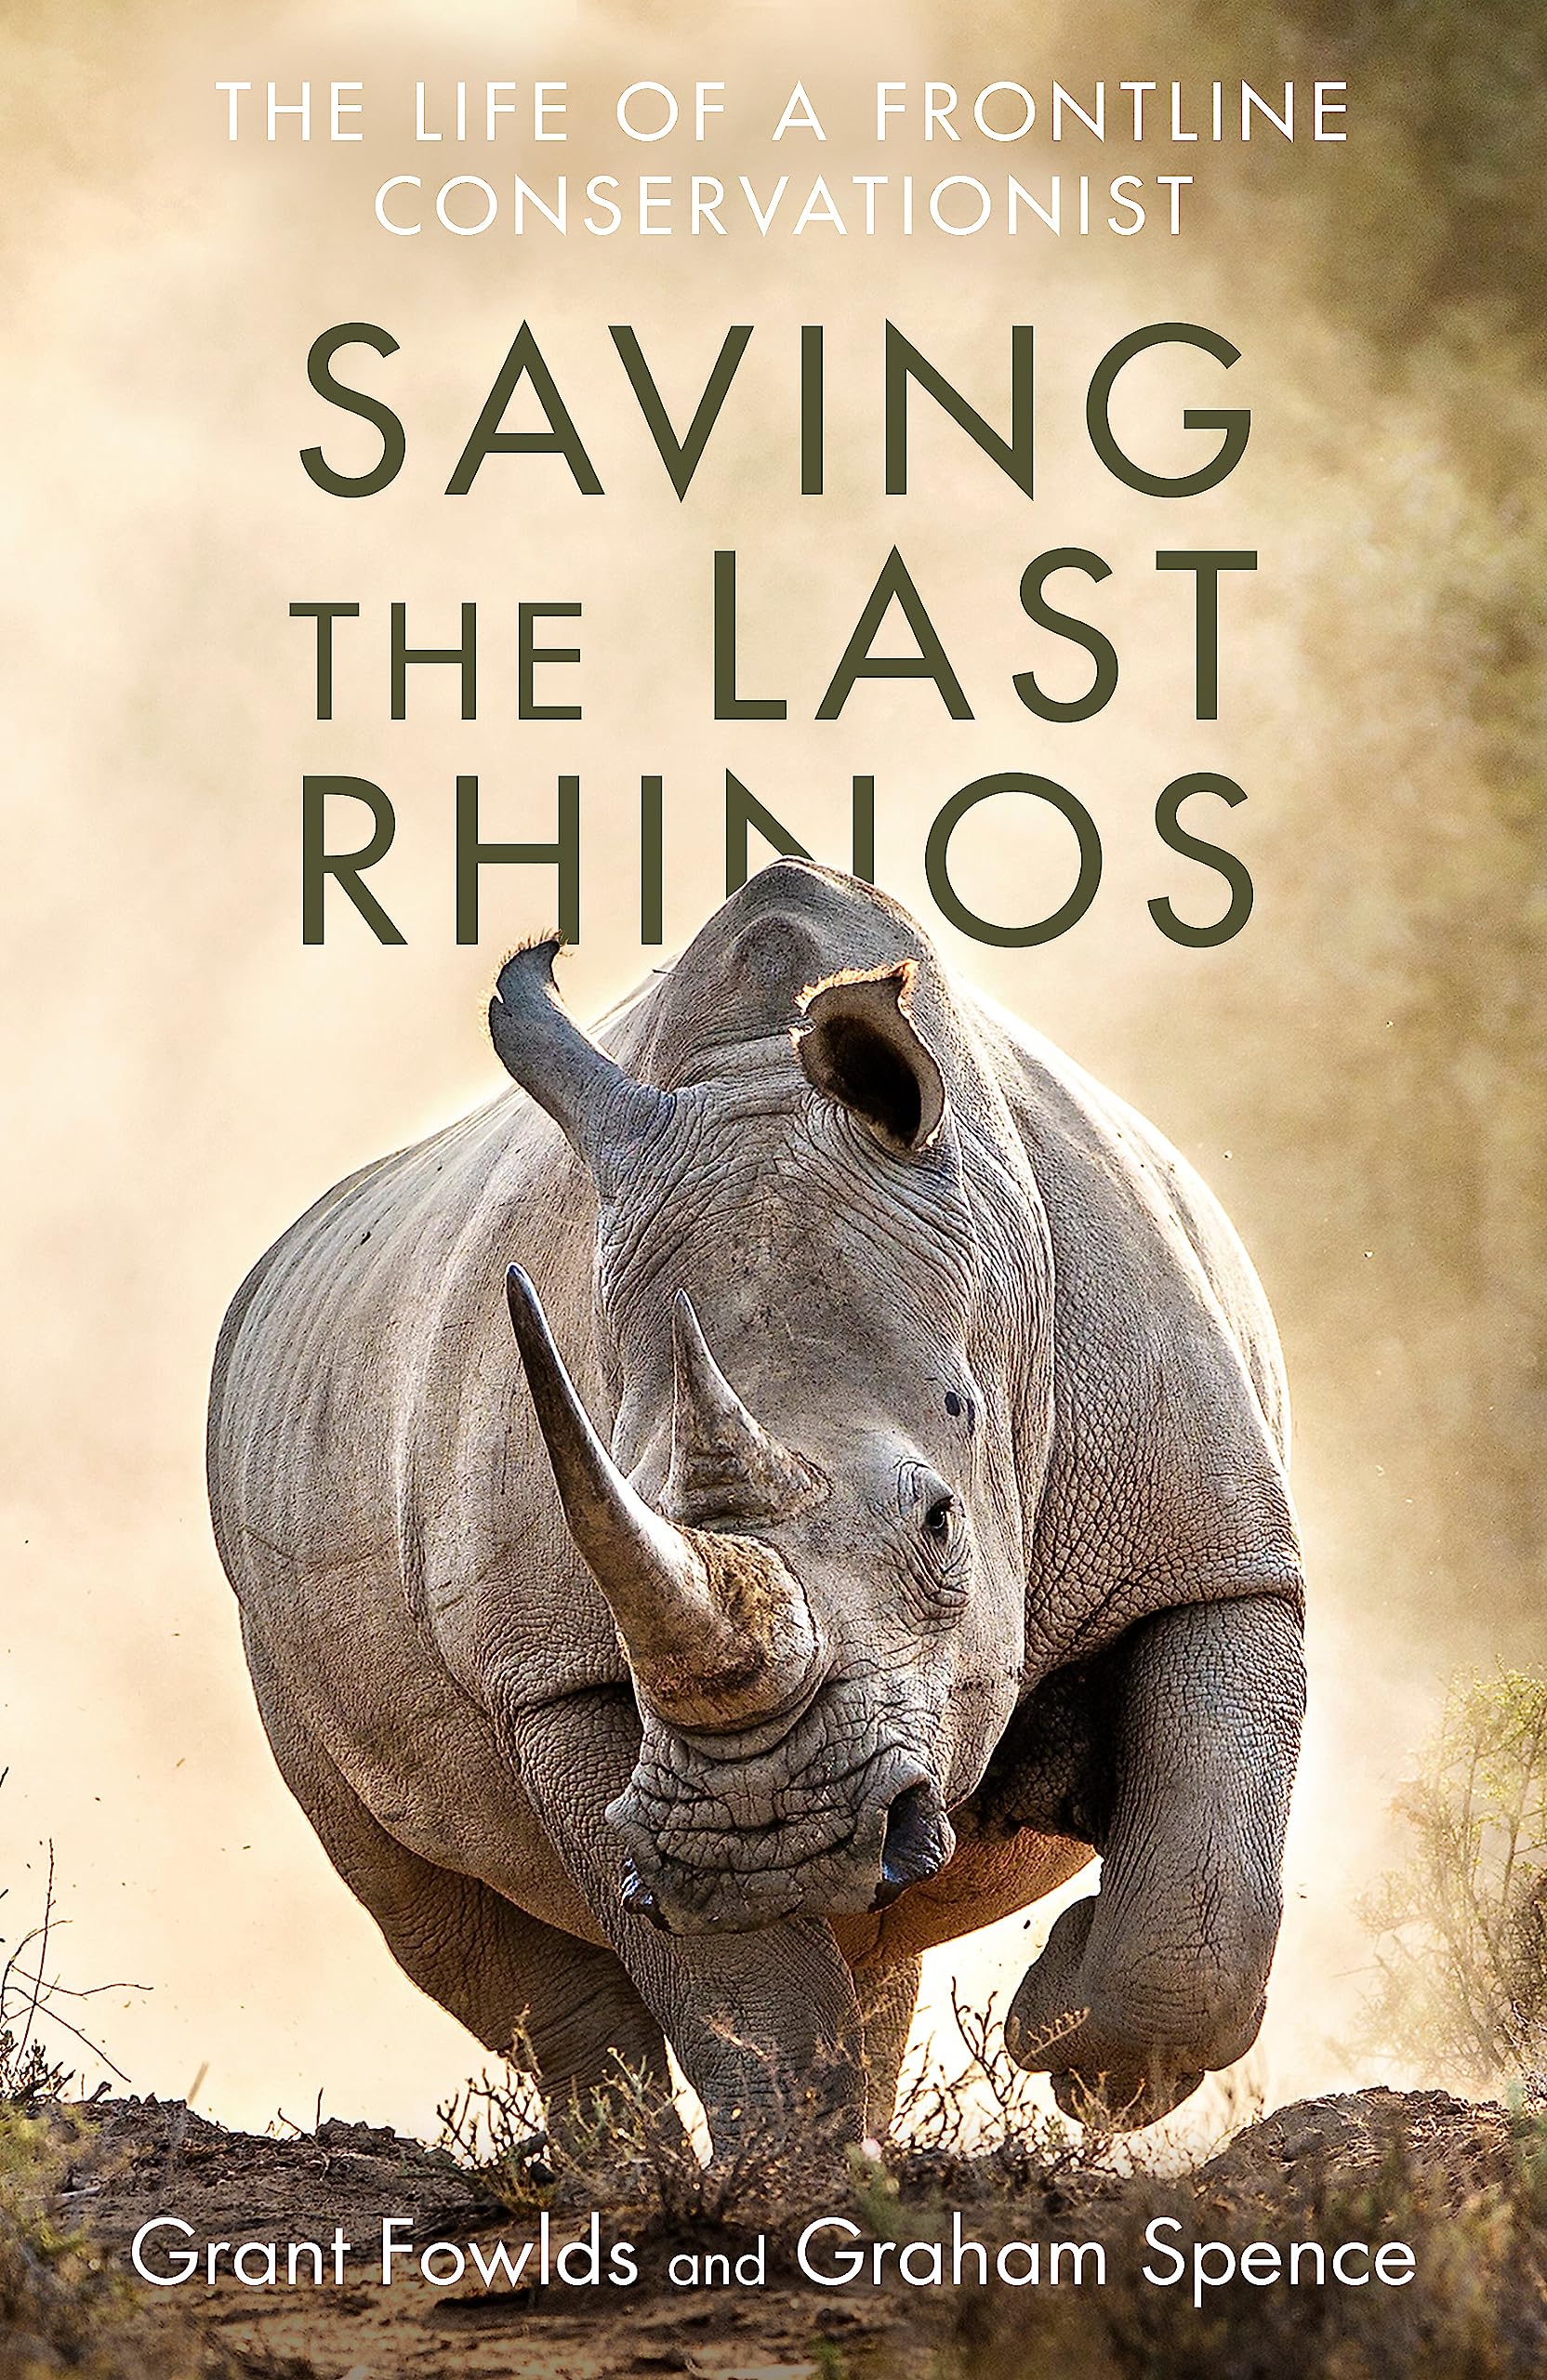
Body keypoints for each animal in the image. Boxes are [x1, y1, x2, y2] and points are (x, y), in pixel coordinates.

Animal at [207, 862, 1304, 2139]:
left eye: (940, 1521)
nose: (761, 1841)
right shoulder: (556, 1676)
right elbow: (744, 1995)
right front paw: (796, 2171)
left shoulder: (1210, 1548)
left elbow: (1201, 1899)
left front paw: (1067, 2041)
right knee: (444, 1919)